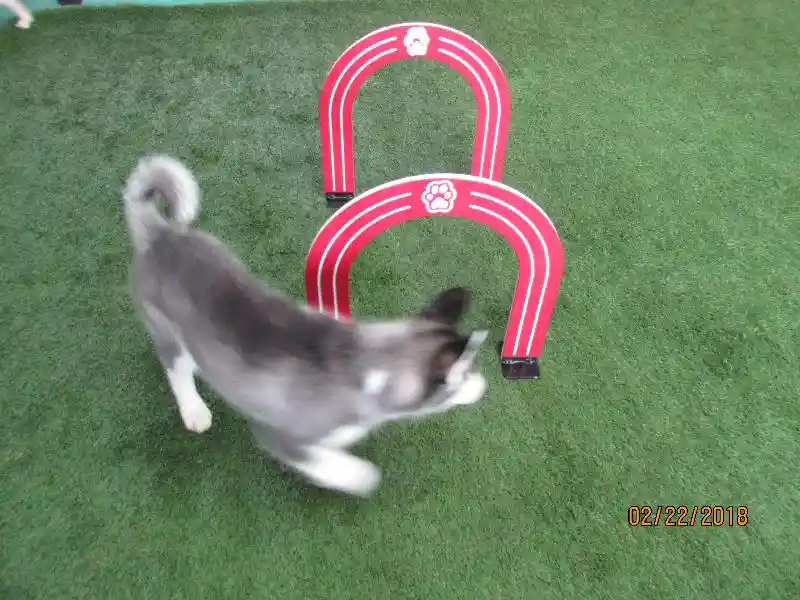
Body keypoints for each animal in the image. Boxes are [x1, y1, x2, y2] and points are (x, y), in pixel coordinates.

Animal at [122, 155, 489, 497]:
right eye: (464, 376)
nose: (485, 386)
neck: (367, 367)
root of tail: (160, 234)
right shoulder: (282, 436)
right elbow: (335, 466)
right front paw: (361, 478)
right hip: (165, 328)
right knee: (175, 367)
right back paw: (194, 409)